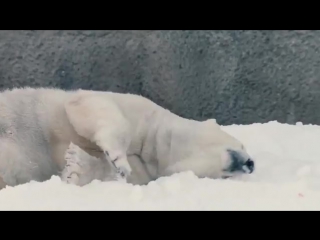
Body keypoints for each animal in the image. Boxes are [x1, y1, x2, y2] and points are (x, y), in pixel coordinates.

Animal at [0, 87, 255, 188]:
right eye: (242, 143)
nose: (251, 164)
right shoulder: (141, 111)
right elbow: (88, 105)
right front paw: (118, 159)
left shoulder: (147, 171)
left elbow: (103, 172)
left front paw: (74, 168)